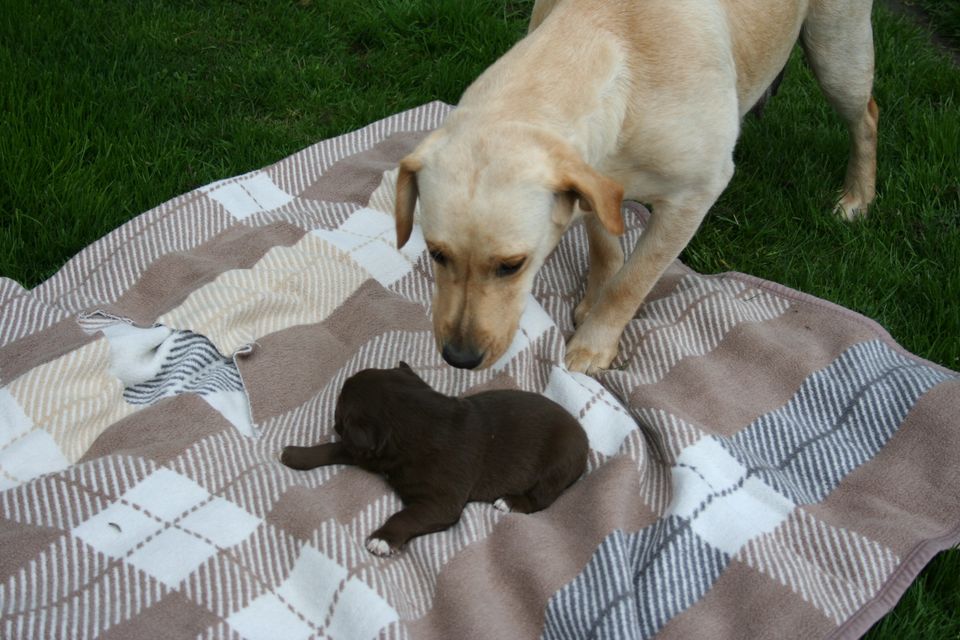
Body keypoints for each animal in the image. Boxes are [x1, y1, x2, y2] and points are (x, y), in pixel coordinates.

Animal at [282, 362, 588, 556]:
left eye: (338, 413)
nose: (334, 423)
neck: (416, 419)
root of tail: (584, 437)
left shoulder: (438, 503)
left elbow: (405, 515)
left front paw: (382, 539)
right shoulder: (367, 452)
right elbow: (333, 449)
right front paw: (295, 454)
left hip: (557, 466)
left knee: (539, 499)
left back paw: (510, 502)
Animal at [392, 0, 876, 376]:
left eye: (512, 266)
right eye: (436, 254)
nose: (459, 358)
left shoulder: (695, 195)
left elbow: (634, 280)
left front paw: (594, 343)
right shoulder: (598, 181)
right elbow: (606, 249)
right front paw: (593, 300)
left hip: (837, 49)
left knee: (866, 116)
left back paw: (857, 198)